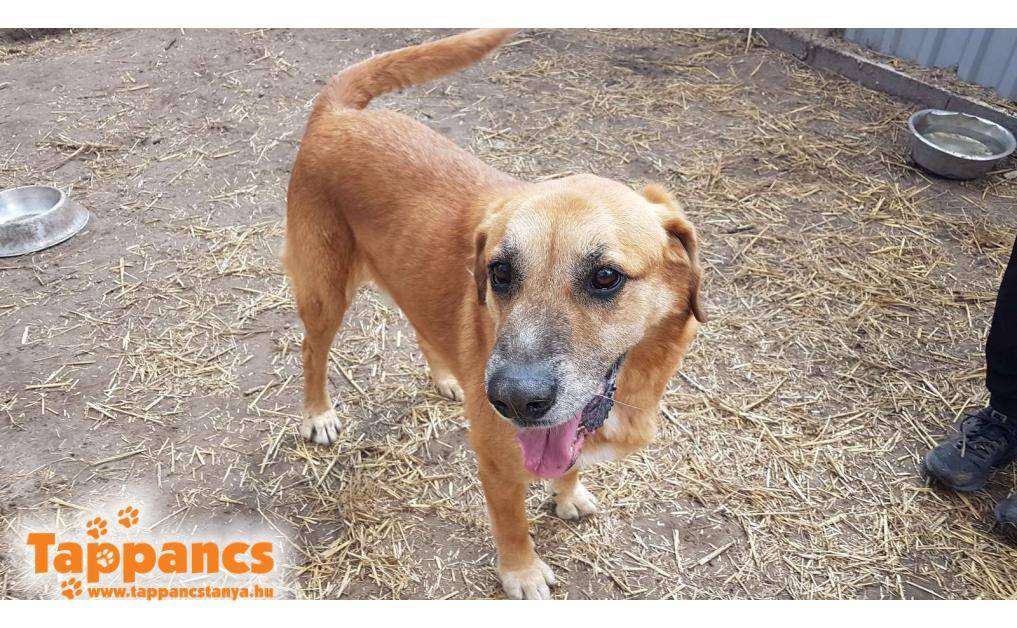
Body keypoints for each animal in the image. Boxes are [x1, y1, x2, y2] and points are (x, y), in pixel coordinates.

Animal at [283, 29, 705, 599]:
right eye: (501, 272)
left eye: (605, 277)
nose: (513, 400)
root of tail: (338, 114)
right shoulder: (498, 462)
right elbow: (512, 523)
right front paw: (521, 573)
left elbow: (566, 461)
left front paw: (567, 494)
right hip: (325, 294)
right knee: (312, 350)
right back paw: (318, 414)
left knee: (421, 326)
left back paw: (447, 378)